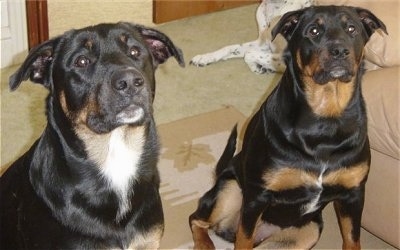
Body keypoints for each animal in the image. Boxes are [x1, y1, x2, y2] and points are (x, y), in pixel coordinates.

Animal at [189, 4, 386, 250]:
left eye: (352, 29)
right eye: (313, 31)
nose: (340, 51)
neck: (326, 118)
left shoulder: (354, 194)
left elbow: (352, 239)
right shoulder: (257, 196)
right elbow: (243, 239)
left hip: (307, 230)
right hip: (230, 190)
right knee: (197, 219)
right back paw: (205, 243)